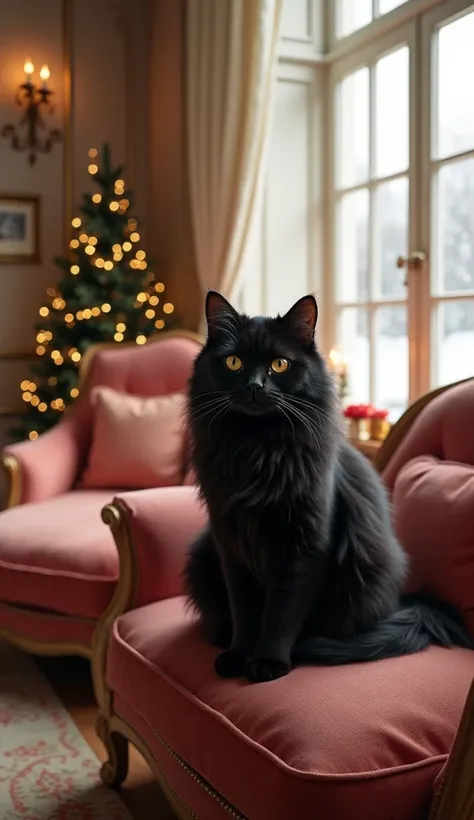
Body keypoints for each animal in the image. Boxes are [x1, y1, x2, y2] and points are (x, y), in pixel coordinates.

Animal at [182, 292, 470, 684]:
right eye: (234, 362)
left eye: (279, 364)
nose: (255, 386)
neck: (257, 449)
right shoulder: (232, 548)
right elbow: (244, 612)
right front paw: (239, 655)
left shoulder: (305, 547)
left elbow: (281, 614)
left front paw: (268, 662)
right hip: (203, 551)